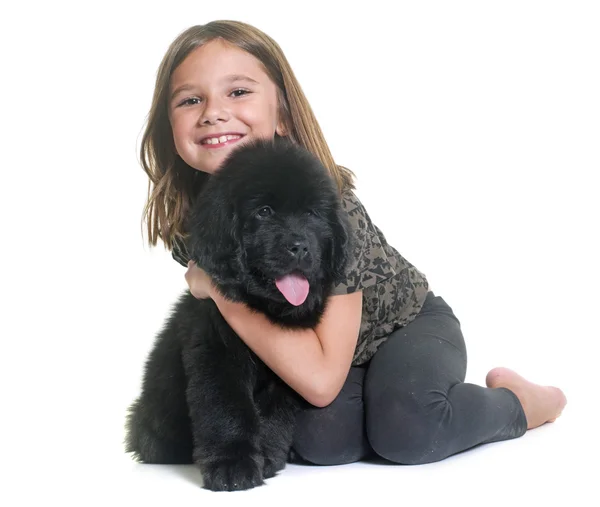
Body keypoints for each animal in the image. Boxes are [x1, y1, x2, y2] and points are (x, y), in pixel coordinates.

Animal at [125, 138, 352, 492]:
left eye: (311, 213)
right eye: (264, 212)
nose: (300, 246)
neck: (263, 307)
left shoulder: (288, 367)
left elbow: (274, 412)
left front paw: (268, 457)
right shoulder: (217, 353)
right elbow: (227, 408)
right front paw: (232, 467)